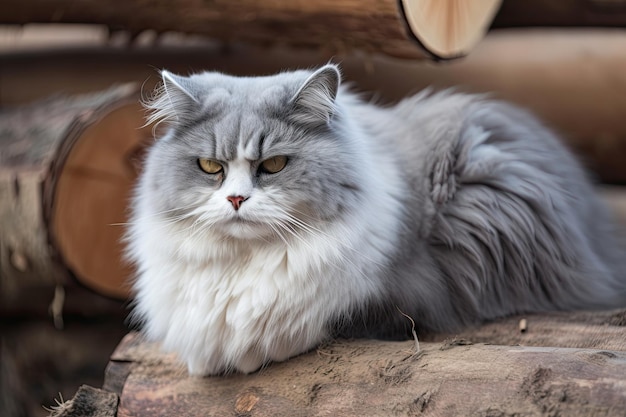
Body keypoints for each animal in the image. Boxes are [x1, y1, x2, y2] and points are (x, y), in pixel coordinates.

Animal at [125, 63, 624, 376]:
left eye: (274, 165)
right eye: (211, 167)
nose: (235, 199)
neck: (246, 262)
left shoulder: (406, 295)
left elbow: (311, 321)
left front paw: (240, 355)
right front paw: (204, 360)